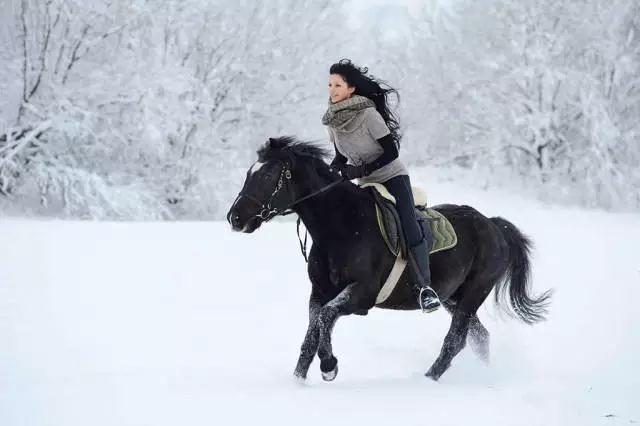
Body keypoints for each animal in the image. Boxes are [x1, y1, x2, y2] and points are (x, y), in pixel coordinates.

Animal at [225, 137, 552, 382]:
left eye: (268, 175)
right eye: (249, 172)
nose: (235, 218)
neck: (341, 225)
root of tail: (494, 226)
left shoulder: (362, 294)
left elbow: (325, 319)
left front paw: (329, 367)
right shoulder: (319, 292)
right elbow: (312, 332)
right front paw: (298, 381)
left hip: (473, 293)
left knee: (456, 340)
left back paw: (427, 379)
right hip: (453, 297)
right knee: (479, 336)